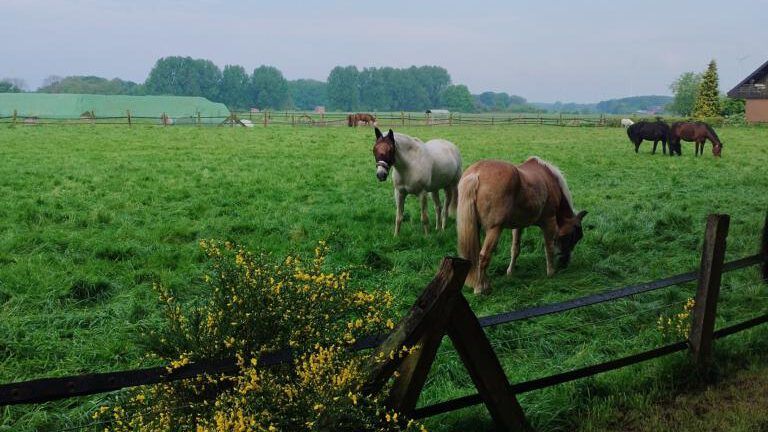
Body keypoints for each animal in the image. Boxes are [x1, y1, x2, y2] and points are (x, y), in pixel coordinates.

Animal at [456, 157, 588, 296]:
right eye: (573, 236)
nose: (565, 263)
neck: (549, 180)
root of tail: (476, 173)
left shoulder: (518, 226)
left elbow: (515, 249)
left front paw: (510, 272)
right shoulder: (549, 222)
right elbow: (549, 248)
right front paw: (551, 273)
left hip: (476, 226)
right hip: (494, 229)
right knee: (484, 256)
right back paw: (480, 288)